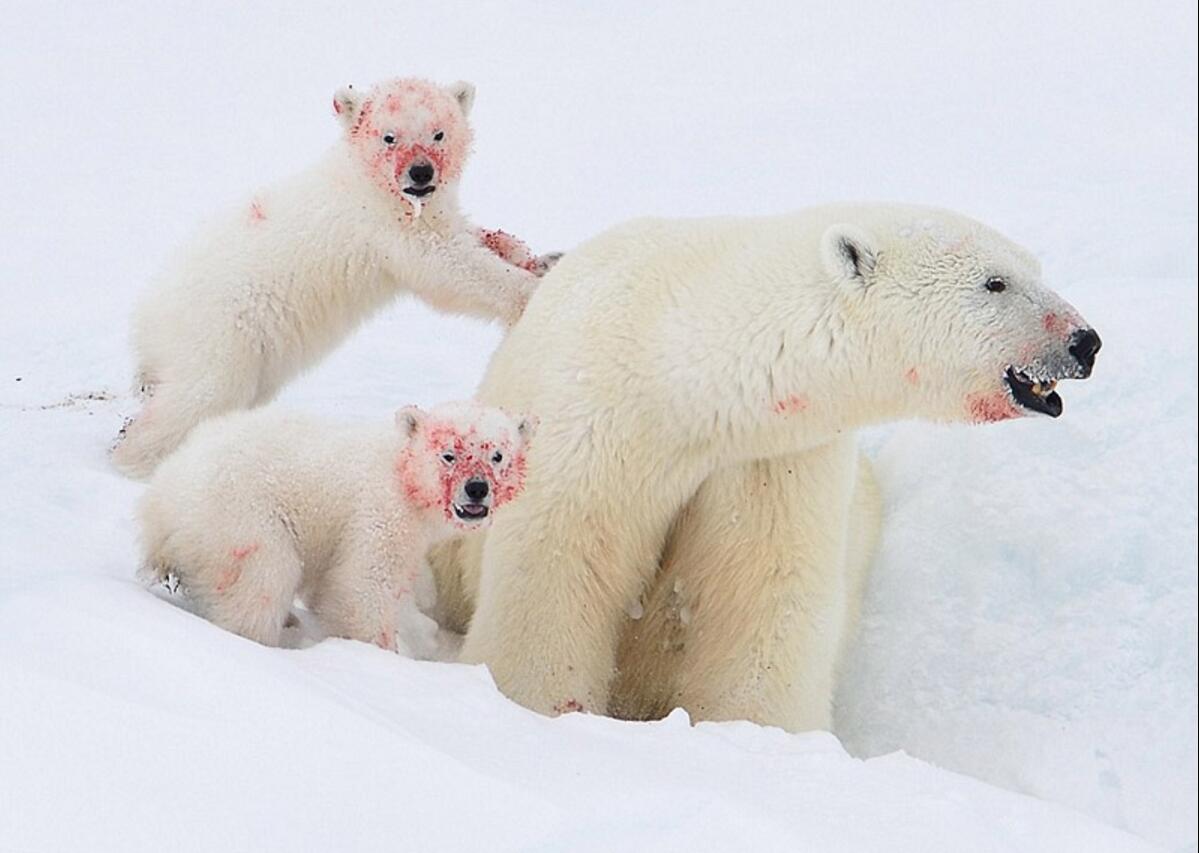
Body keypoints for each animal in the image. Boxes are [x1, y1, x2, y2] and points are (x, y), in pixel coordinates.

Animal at [434, 203, 1103, 729]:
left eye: (1034, 269)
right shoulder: (598, 420)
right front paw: (533, 703)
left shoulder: (772, 459)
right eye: (996, 283)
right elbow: (559, 563)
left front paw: (756, 735)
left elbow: (763, 594)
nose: (1086, 342)